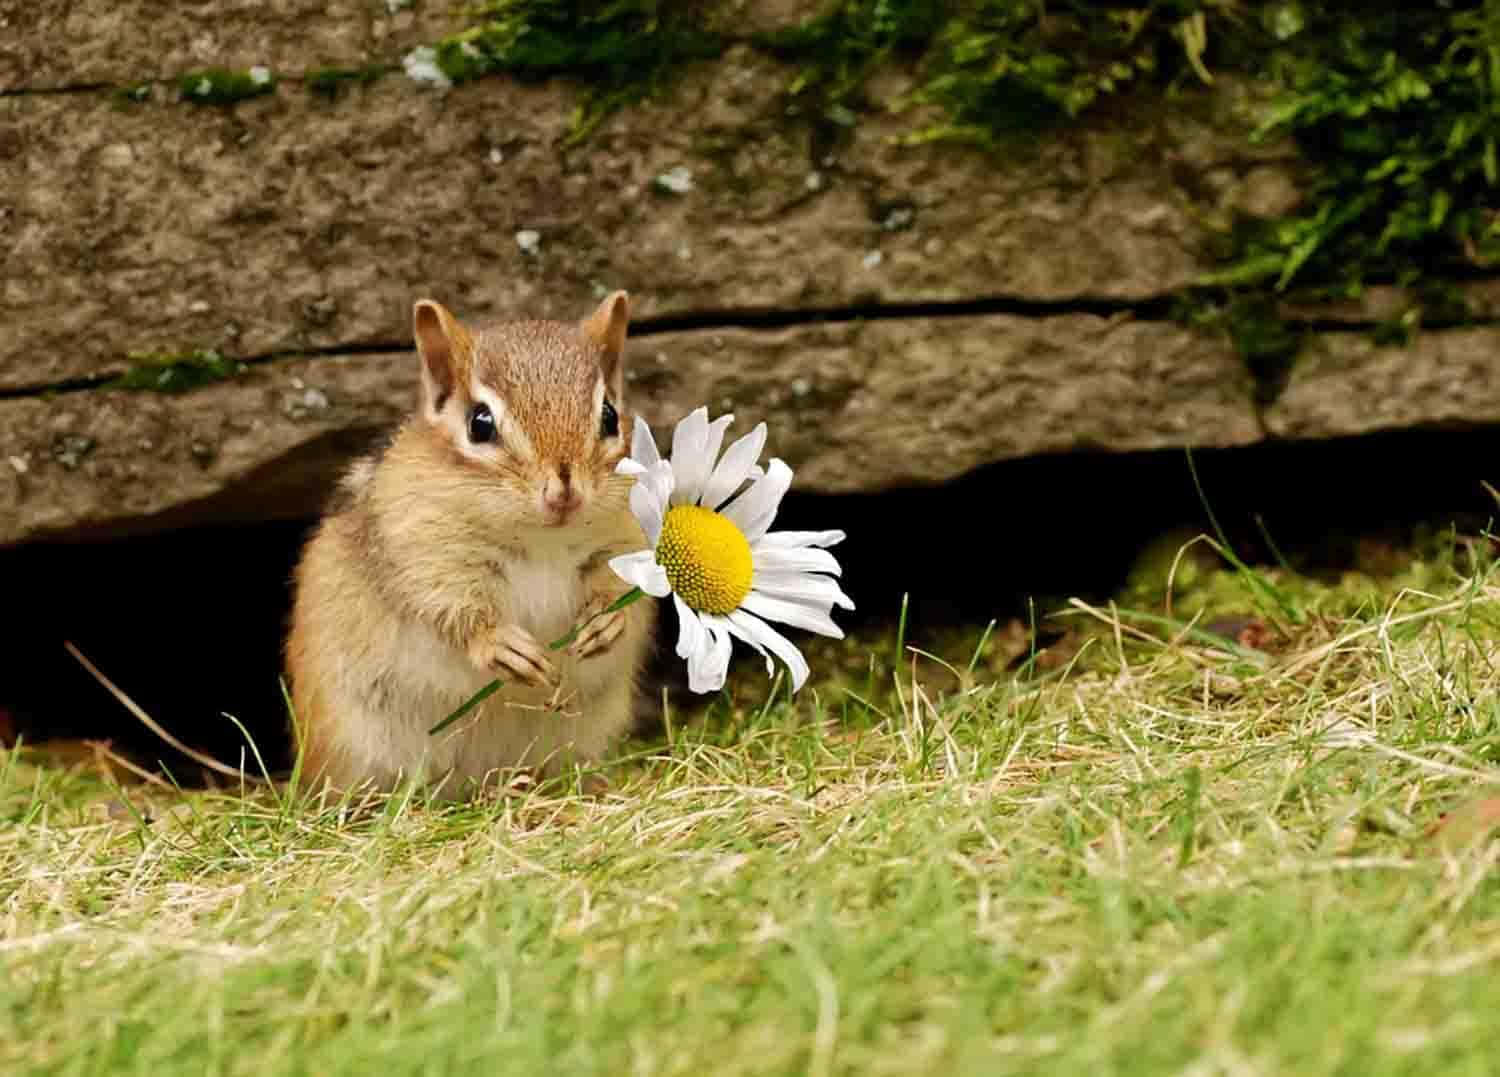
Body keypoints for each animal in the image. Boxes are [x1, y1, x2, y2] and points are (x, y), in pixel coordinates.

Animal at [284, 292, 657, 797]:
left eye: (609, 417)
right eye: (480, 424)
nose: (564, 491)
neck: (543, 539)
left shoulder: (623, 539)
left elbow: (623, 591)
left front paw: (605, 624)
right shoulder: (426, 555)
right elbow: (452, 610)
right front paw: (501, 646)